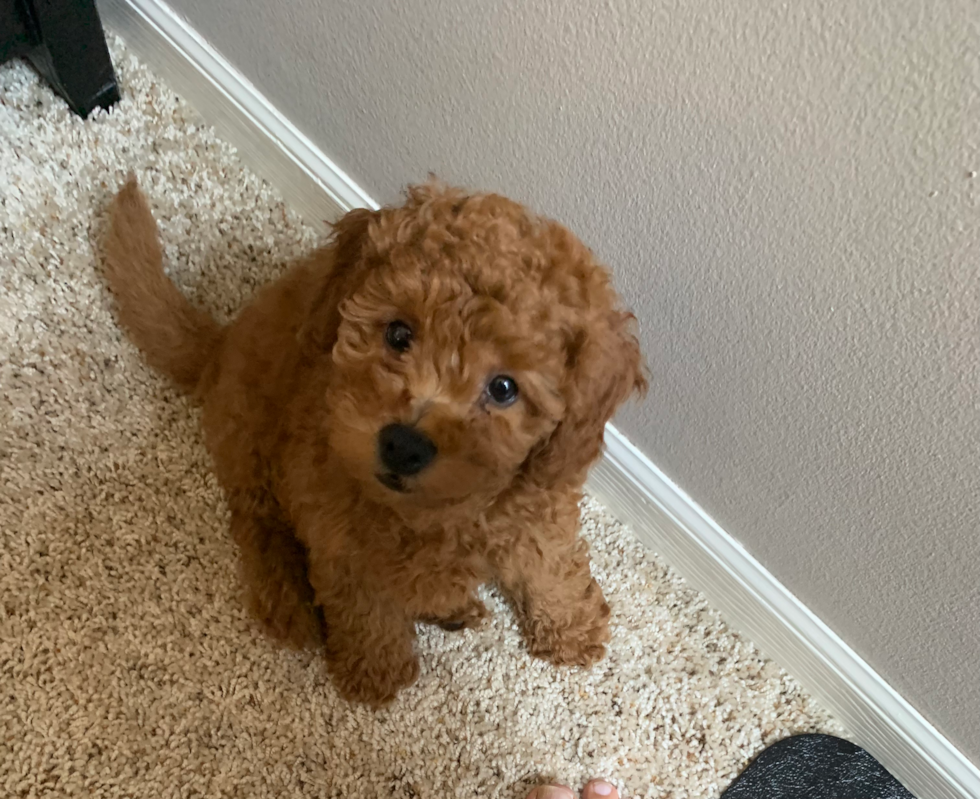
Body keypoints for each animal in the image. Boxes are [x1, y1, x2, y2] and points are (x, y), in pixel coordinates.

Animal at [103, 177, 648, 708]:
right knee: (257, 525)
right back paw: (288, 604)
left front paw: (573, 626)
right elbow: (364, 605)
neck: (441, 514)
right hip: (250, 441)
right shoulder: (336, 525)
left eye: (504, 388)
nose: (403, 445)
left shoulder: (541, 499)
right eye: (399, 334)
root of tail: (220, 343)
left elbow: (550, 564)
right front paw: (376, 671)